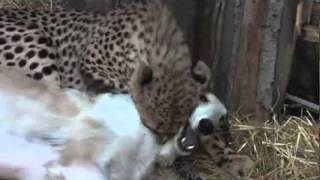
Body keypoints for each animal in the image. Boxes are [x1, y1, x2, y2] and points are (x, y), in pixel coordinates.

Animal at [0, 0, 252, 177]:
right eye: (156, 128)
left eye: (223, 121)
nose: (207, 125)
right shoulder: (92, 62)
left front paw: (231, 158)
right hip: (37, 45)